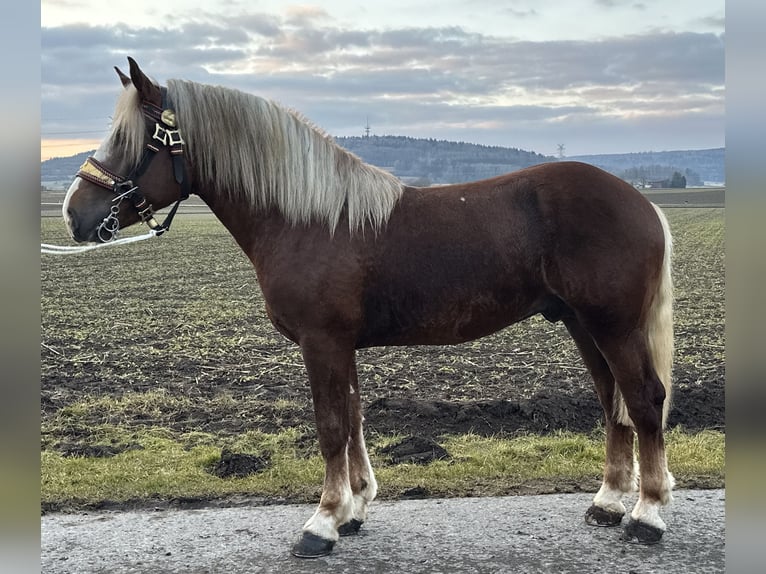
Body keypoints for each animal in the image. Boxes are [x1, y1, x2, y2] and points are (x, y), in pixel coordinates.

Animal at [64, 57, 680, 560]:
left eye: (130, 140)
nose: (74, 213)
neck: (309, 218)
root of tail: (642, 201)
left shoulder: (323, 342)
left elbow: (331, 425)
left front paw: (321, 524)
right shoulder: (343, 345)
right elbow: (355, 417)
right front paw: (354, 508)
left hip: (613, 326)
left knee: (644, 399)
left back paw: (647, 515)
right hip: (583, 324)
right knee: (612, 401)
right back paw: (607, 502)